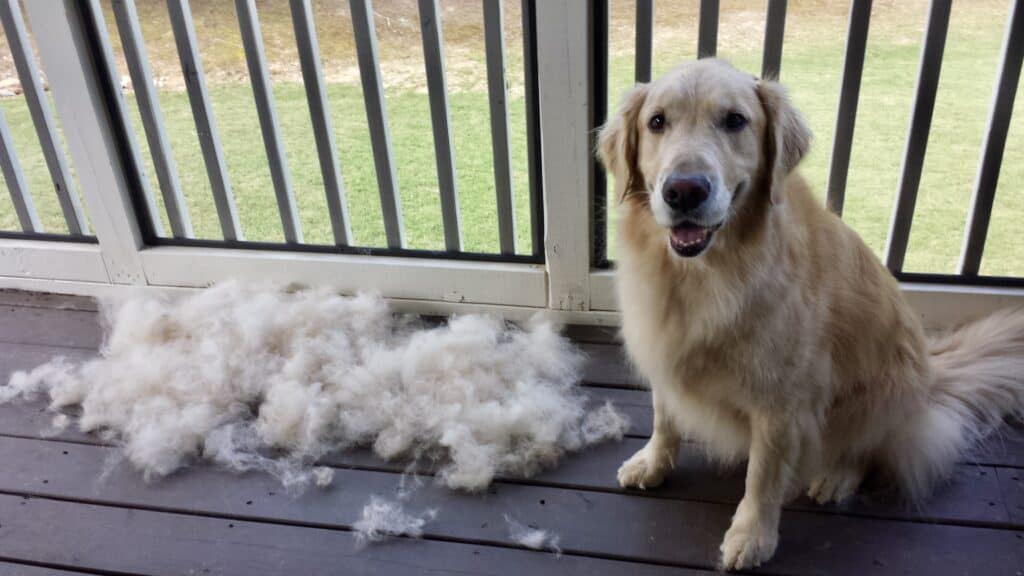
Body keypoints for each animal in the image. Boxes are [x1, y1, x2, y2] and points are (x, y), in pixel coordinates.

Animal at [598, 56, 1024, 565]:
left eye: (735, 120)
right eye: (657, 122)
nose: (683, 191)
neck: (705, 274)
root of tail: (933, 375)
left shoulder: (782, 402)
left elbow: (762, 475)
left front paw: (752, 535)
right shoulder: (665, 351)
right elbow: (665, 417)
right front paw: (653, 462)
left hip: (883, 391)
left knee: (866, 448)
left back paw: (837, 476)